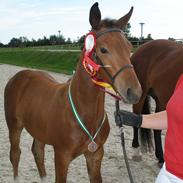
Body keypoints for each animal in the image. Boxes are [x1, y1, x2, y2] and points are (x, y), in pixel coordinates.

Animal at [3, 2, 142, 183]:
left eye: (129, 47)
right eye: (103, 49)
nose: (134, 92)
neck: (84, 113)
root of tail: (19, 76)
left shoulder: (95, 155)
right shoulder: (62, 157)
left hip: (38, 129)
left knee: (38, 152)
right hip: (14, 126)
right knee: (15, 154)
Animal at [131, 39, 183, 167]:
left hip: (161, 100)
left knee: (157, 128)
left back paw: (160, 157)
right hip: (141, 95)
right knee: (136, 117)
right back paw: (136, 151)